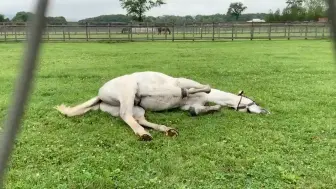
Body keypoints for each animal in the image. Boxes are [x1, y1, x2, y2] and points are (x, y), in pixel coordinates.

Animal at [55, 71, 270, 141]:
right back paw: (144, 135)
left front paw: (212, 108)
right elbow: (202, 88)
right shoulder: (185, 83)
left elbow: (198, 109)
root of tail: (100, 96)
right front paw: (185, 93)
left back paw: (167, 130)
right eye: (254, 100)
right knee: (126, 115)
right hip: (128, 92)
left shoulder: (190, 107)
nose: (266, 111)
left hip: (136, 108)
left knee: (138, 118)